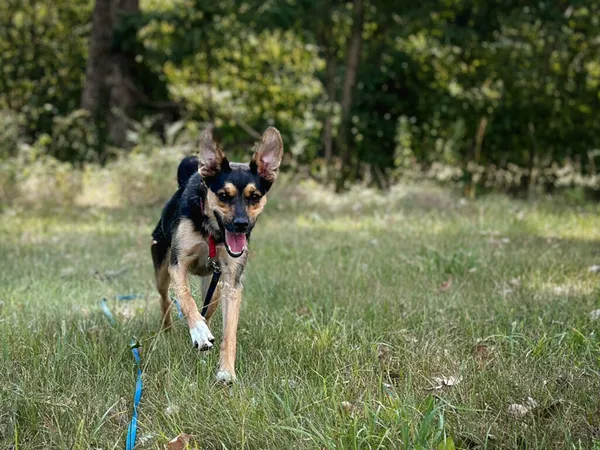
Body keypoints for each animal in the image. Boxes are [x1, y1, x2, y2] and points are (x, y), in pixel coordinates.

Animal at [149, 126, 282, 384]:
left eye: (254, 197)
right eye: (223, 195)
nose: (241, 225)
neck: (211, 231)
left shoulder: (231, 282)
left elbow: (229, 332)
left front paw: (226, 371)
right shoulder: (178, 265)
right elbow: (186, 300)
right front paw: (199, 332)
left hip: (215, 287)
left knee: (207, 310)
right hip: (161, 269)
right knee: (165, 298)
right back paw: (170, 330)